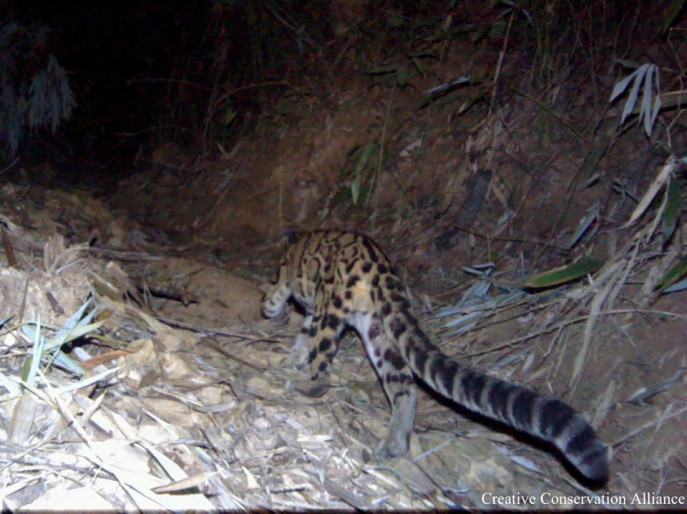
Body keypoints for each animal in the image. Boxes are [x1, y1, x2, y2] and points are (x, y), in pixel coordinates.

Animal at [262, 229, 608, 480]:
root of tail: (379, 267)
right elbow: (301, 337)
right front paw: (291, 357)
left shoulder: (296, 292)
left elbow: (279, 305)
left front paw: (282, 336)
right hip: (377, 329)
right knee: (404, 386)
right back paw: (394, 444)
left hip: (335, 311)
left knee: (324, 370)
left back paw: (304, 385)